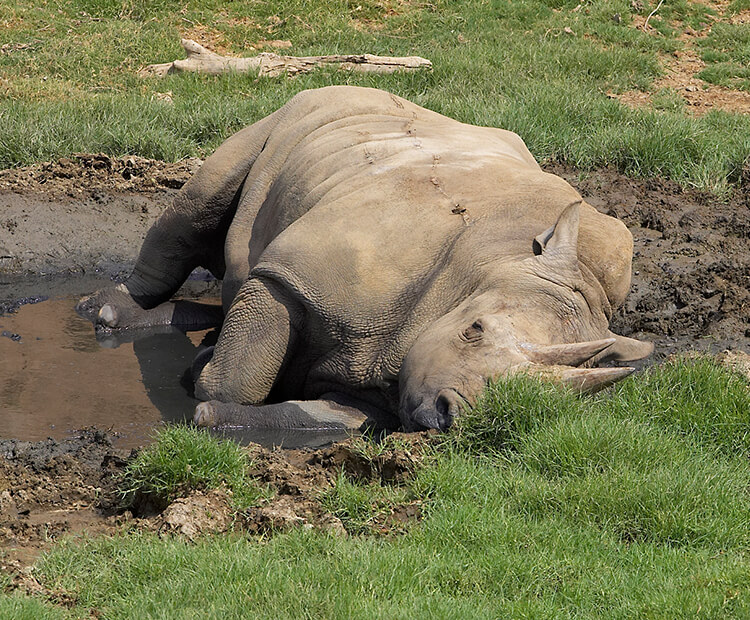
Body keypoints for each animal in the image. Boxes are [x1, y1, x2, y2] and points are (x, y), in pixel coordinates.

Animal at [76, 86, 652, 432]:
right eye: (474, 330)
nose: (450, 415)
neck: (487, 267)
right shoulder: (297, 275)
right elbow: (241, 368)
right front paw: (202, 375)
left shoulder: (386, 375)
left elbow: (333, 417)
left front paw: (213, 399)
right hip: (289, 114)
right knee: (200, 203)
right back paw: (104, 313)